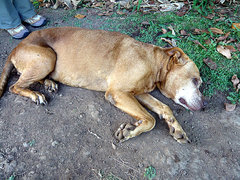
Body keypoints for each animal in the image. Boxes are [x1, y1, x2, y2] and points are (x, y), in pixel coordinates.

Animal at [0, 26, 204, 143]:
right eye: (196, 80)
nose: (205, 105)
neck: (155, 62)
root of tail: (16, 48)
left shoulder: (138, 93)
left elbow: (164, 108)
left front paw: (177, 128)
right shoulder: (118, 92)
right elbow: (150, 119)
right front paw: (131, 130)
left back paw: (49, 82)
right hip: (48, 57)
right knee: (15, 86)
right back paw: (35, 94)